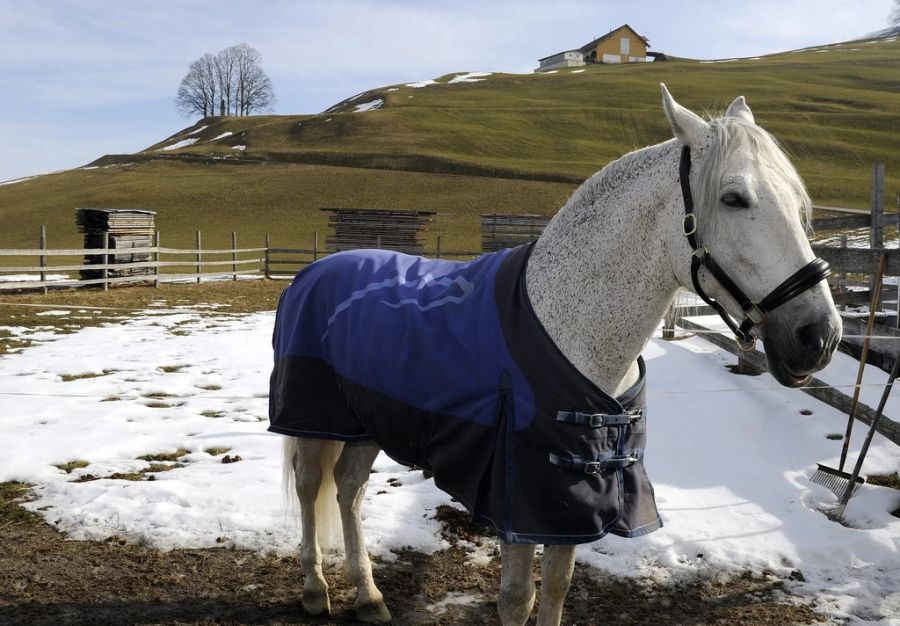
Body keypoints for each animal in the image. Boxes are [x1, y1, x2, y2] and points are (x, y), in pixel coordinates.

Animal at [274, 86, 844, 624]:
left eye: (799, 203)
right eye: (733, 198)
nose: (819, 336)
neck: (568, 328)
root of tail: (313, 272)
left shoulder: (570, 501)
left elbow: (556, 587)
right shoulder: (520, 503)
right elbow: (516, 598)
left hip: (367, 425)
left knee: (348, 491)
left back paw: (368, 595)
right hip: (314, 421)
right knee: (309, 489)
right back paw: (315, 590)